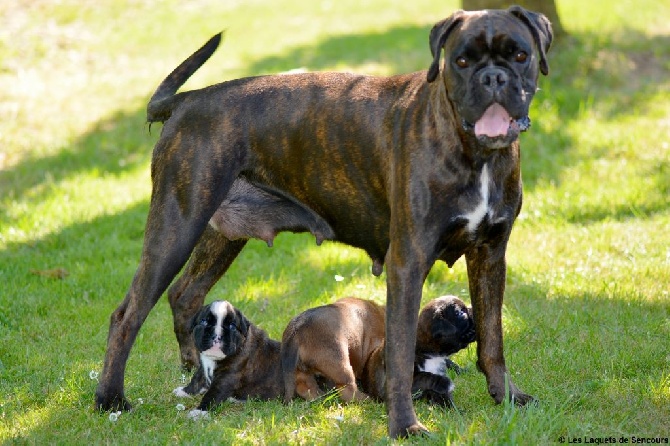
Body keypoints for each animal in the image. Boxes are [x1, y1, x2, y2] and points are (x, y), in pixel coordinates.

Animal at [97, 6, 552, 440]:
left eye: (520, 55)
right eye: (461, 60)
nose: (493, 77)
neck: (475, 152)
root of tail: (189, 100)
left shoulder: (490, 256)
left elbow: (492, 339)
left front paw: (508, 398)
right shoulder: (408, 263)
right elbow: (402, 353)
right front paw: (405, 425)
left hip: (219, 235)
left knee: (185, 295)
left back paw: (194, 373)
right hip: (176, 227)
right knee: (128, 314)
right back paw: (110, 399)